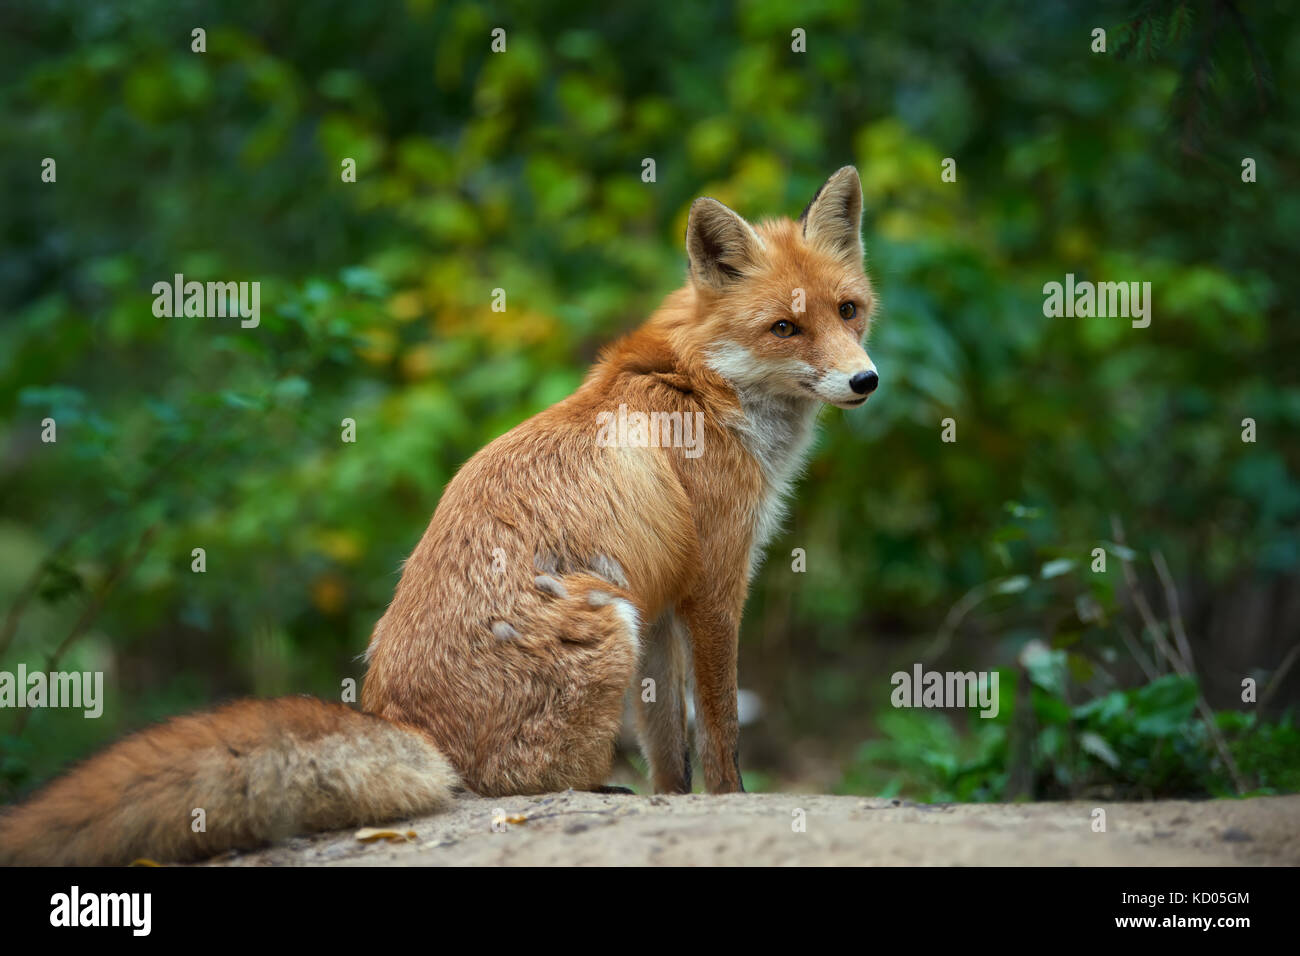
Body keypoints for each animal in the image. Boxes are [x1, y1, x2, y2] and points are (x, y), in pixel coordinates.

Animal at [0, 166, 879, 865]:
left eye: (849, 311)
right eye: (785, 327)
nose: (866, 380)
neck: (702, 384)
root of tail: (404, 720)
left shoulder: (667, 603)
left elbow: (672, 750)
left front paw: (677, 798)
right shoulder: (714, 588)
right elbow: (722, 730)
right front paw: (731, 803)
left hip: (629, 618)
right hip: (608, 622)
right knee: (516, 785)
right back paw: (594, 789)